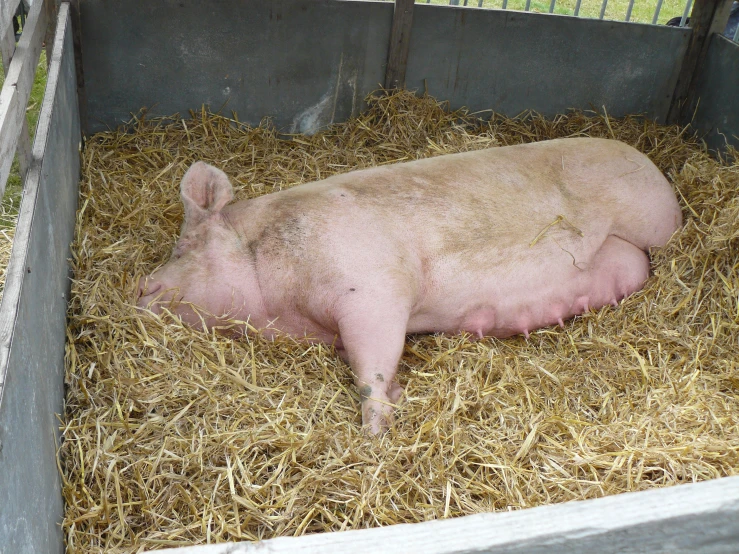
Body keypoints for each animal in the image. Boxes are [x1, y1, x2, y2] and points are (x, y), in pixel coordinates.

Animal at [137, 137, 684, 432]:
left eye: (183, 247)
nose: (140, 287)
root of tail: (653, 164)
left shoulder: (372, 290)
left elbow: (372, 368)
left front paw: (376, 433)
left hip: (657, 223)